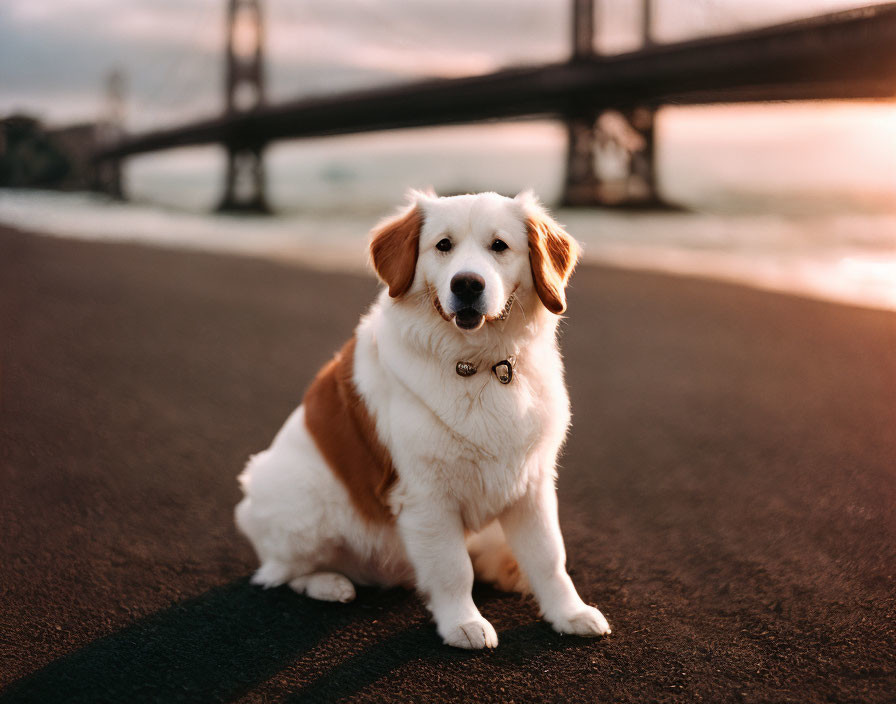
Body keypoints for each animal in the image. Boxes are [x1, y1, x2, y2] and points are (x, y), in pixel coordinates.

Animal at [234, 188, 612, 648]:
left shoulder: (531, 482)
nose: (466, 283)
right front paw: (462, 623)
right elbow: (452, 569)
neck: (479, 364)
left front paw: (569, 613)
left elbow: (548, 556)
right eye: (443, 245)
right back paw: (330, 583)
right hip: (298, 495)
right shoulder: (426, 494)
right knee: (280, 572)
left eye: (499, 246)